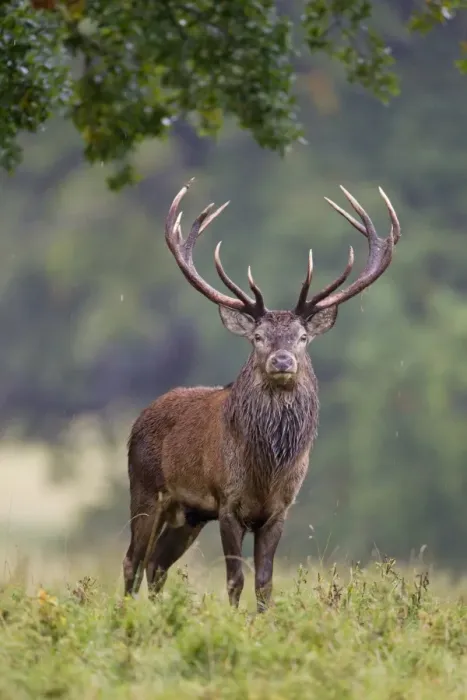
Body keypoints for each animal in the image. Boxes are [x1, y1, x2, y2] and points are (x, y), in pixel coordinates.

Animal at [123, 179, 400, 612]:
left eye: (302, 337)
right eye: (258, 337)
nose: (282, 360)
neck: (266, 468)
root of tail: (140, 418)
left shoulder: (278, 510)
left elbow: (265, 583)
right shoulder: (227, 502)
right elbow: (235, 579)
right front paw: (234, 621)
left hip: (188, 514)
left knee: (157, 564)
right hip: (146, 488)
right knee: (132, 560)